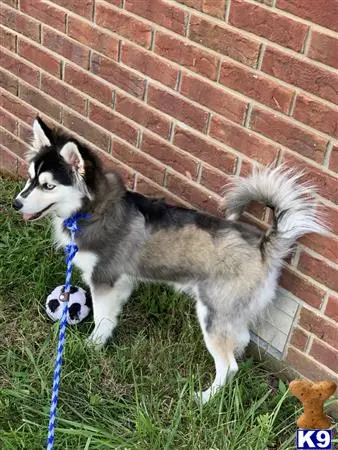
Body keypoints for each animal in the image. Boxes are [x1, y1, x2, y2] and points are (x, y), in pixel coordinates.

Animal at [13, 118, 328, 402]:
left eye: (48, 186)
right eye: (30, 178)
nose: (16, 203)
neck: (90, 210)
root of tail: (264, 245)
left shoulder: (103, 279)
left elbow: (101, 318)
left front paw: (91, 346)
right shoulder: (121, 283)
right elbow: (111, 316)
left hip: (212, 313)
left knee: (229, 366)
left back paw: (204, 398)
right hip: (229, 311)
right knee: (240, 341)